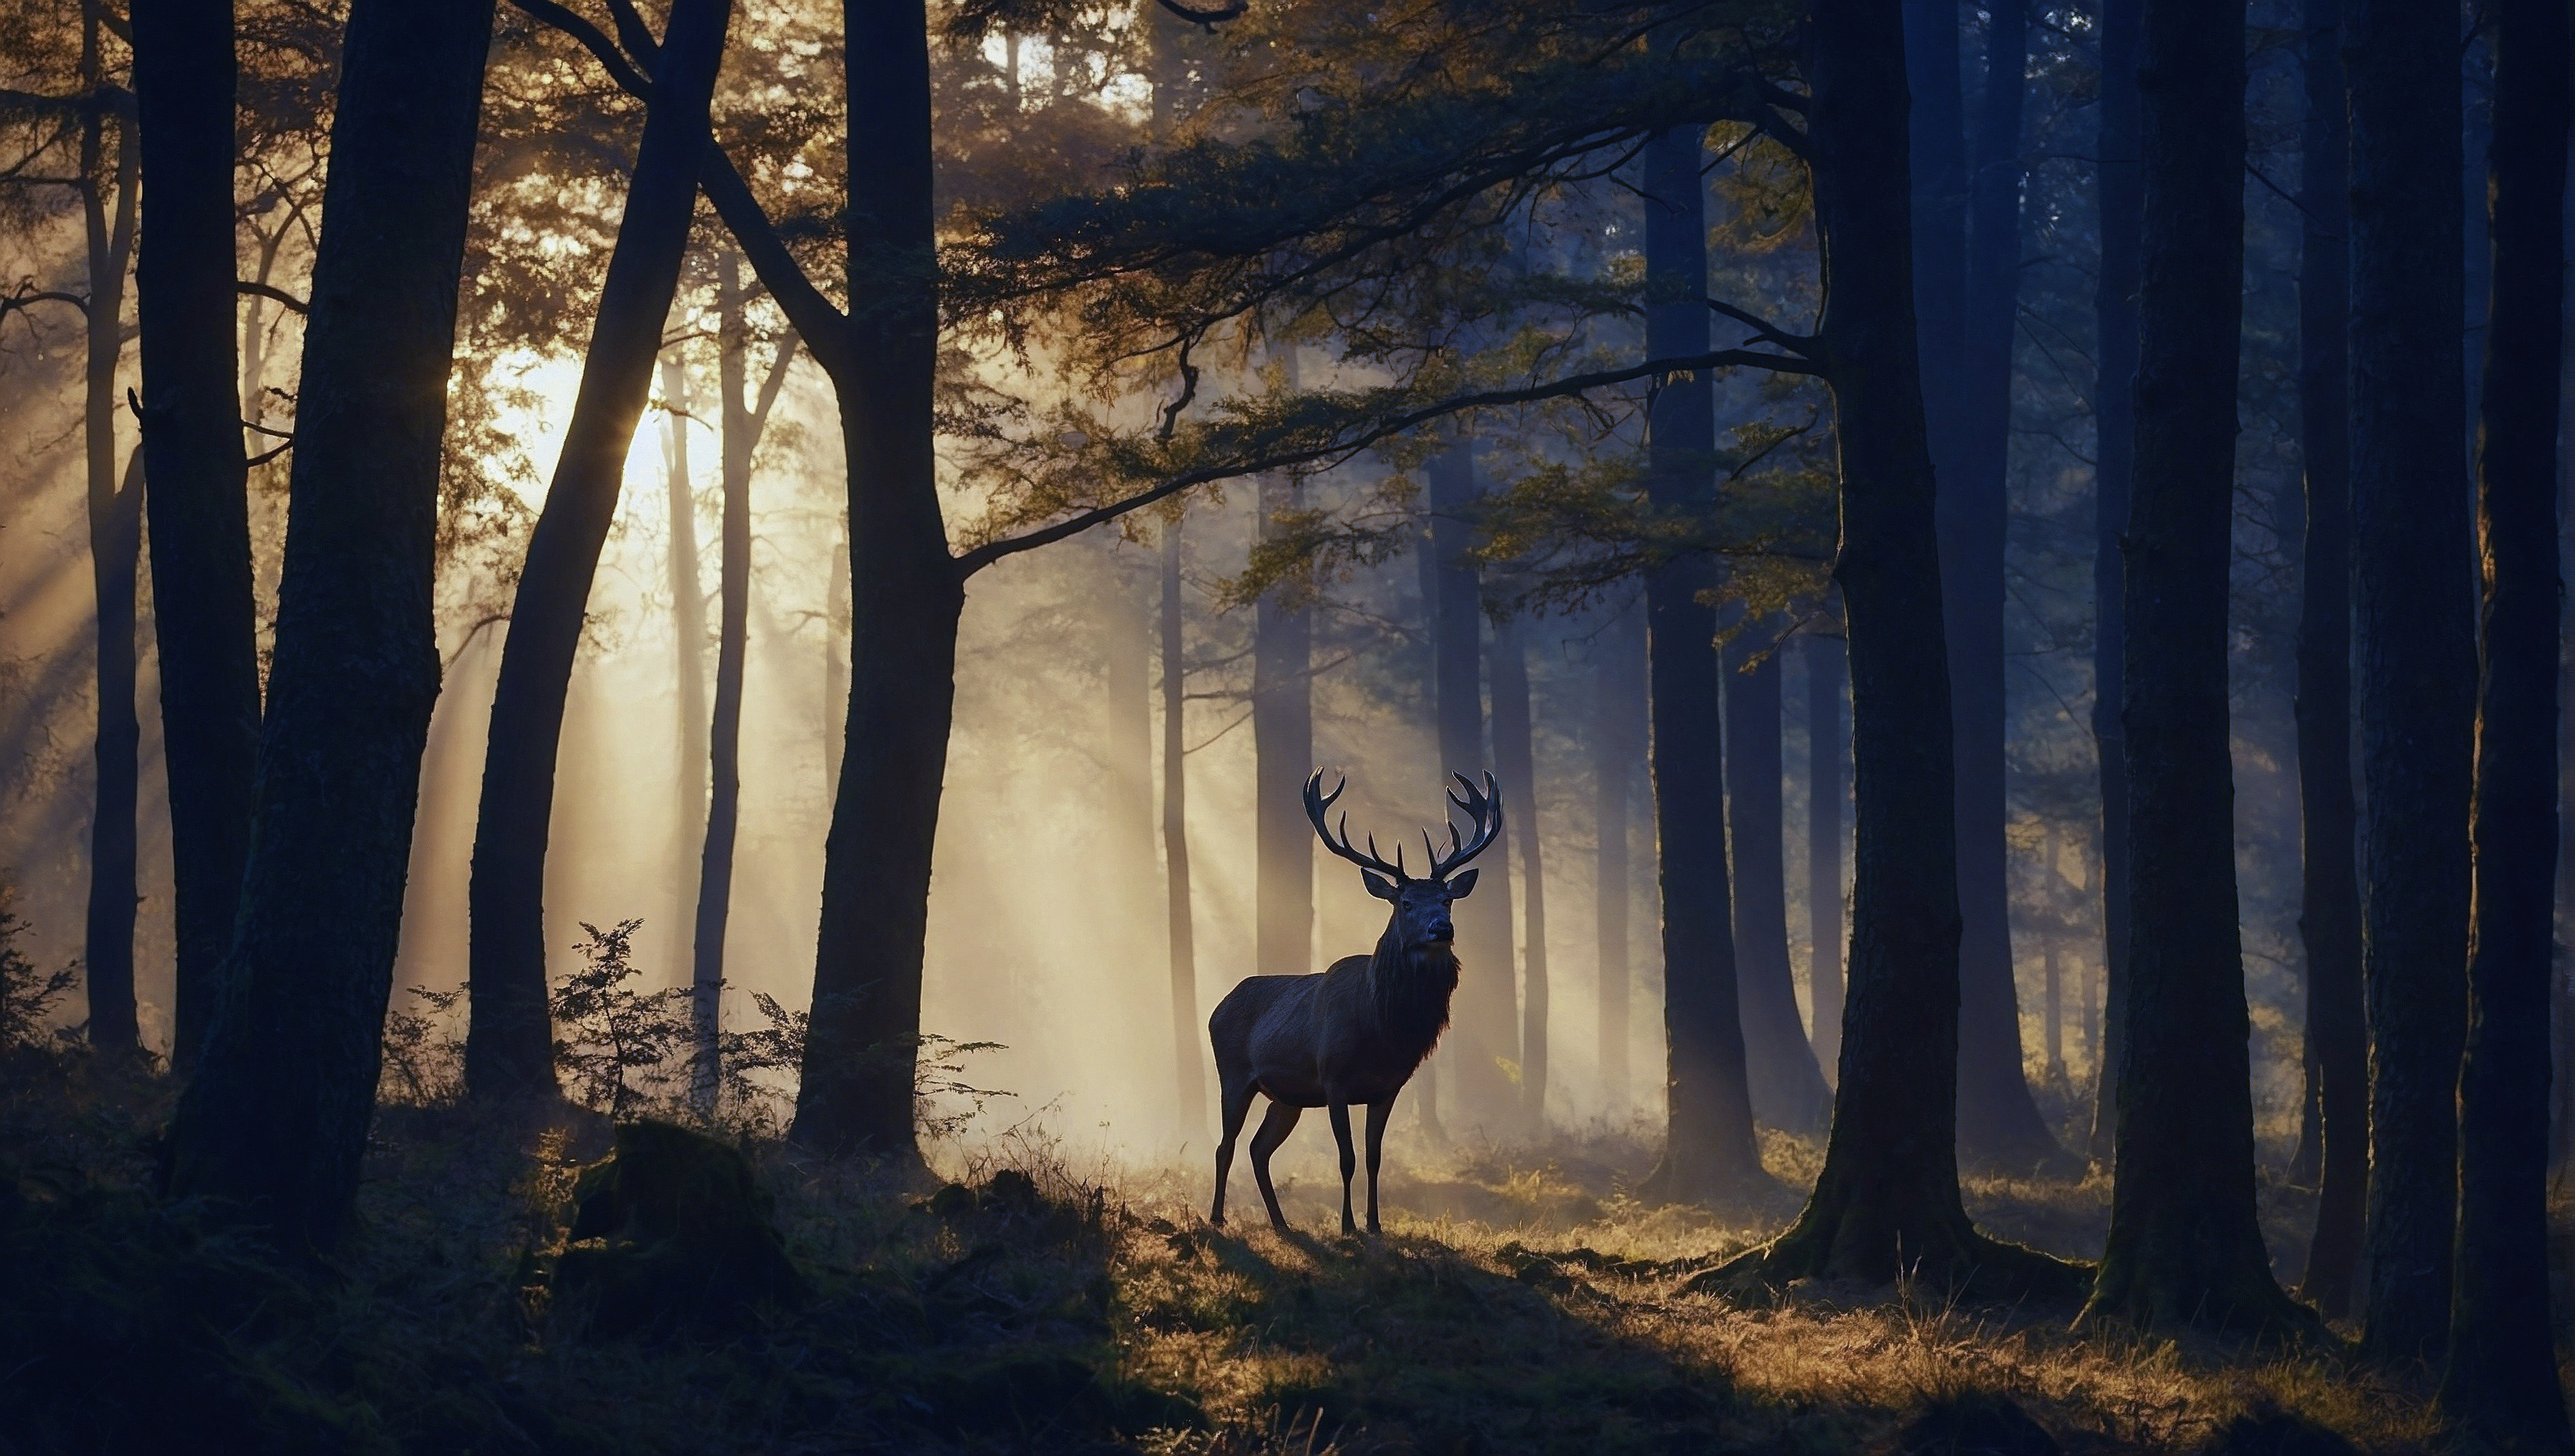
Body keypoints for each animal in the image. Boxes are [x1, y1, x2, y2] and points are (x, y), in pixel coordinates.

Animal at [1210, 771, 1504, 1240]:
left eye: (1447, 900)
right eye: (1406, 903)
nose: (1442, 929)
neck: (1381, 1029)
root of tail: (1217, 1007)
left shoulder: (1387, 1087)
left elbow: (1374, 1159)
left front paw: (1375, 1224)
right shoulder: (1334, 1080)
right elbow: (1346, 1159)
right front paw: (1348, 1225)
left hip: (1287, 1097)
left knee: (1259, 1148)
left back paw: (1282, 1223)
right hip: (1234, 1075)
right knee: (1226, 1146)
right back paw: (1218, 1217)